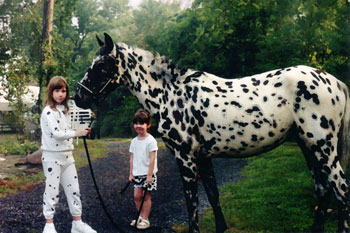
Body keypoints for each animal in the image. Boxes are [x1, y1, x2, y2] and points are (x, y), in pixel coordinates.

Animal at [72, 33, 348, 233]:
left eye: (102, 65)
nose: (79, 96)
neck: (171, 94)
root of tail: (334, 82)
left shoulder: (185, 158)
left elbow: (192, 202)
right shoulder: (204, 157)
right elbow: (213, 196)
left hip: (323, 148)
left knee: (341, 189)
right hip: (308, 147)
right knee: (323, 190)